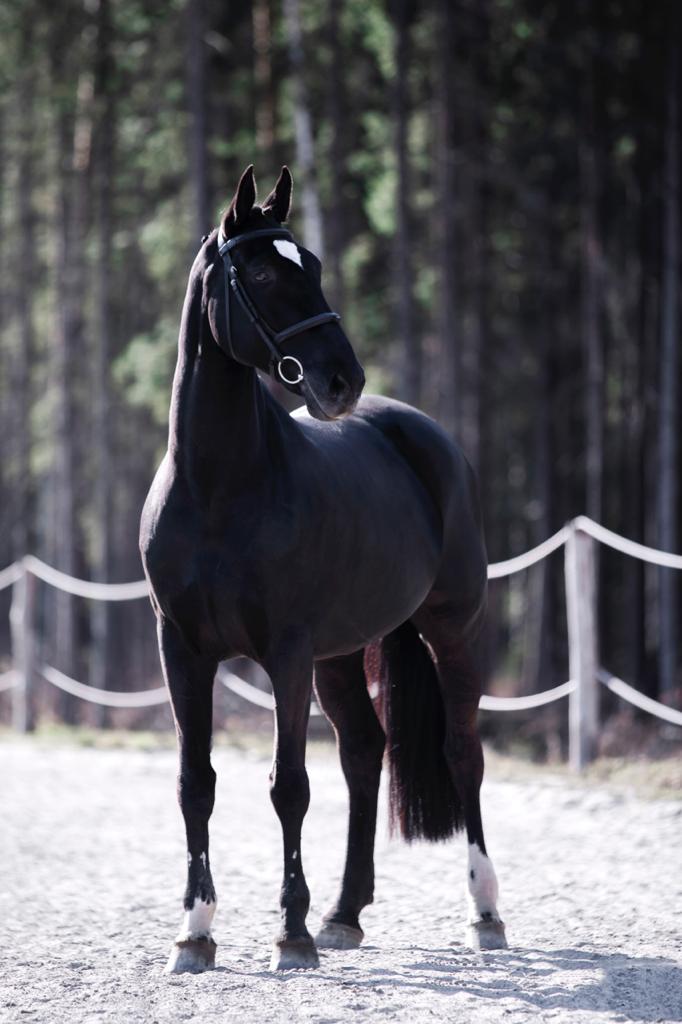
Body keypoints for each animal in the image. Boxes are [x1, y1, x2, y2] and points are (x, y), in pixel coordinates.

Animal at [140, 164, 507, 974]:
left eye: (310, 263)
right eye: (262, 272)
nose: (342, 380)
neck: (219, 489)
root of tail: (423, 434)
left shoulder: (285, 652)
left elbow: (290, 787)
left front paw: (291, 933)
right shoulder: (182, 649)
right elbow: (194, 783)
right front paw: (195, 933)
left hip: (452, 629)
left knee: (462, 753)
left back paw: (485, 913)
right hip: (341, 655)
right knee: (366, 753)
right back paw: (345, 913)